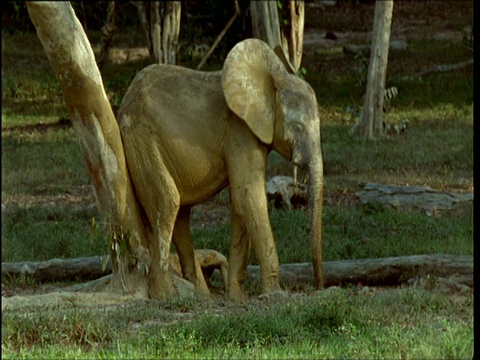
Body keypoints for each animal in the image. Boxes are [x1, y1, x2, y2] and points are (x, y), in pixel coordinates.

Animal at [118, 38, 324, 300]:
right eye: (297, 127)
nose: (320, 285)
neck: (274, 80)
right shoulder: (239, 130)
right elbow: (248, 196)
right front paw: (276, 295)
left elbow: (239, 201)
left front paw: (236, 298)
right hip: (141, 139)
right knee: (167, 202)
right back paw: (168, 296)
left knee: (180, 214)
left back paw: (201, 295)